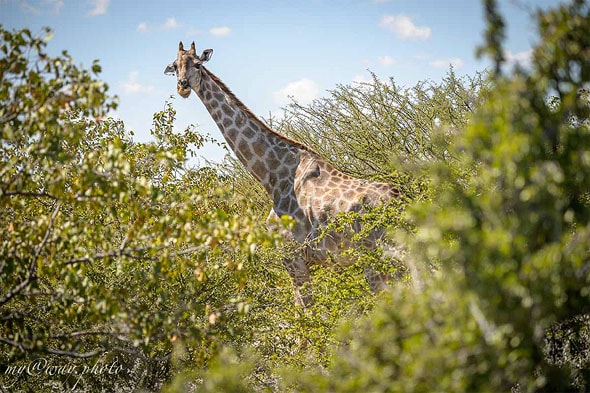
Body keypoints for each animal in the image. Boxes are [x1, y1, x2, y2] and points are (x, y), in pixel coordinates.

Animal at [166, 43, 402, 306]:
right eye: (175, 66)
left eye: (198, 64)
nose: (183, 86)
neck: (272, 175)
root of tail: (400, 200)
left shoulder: (291, 256)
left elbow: (303, 311)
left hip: (379, 257)